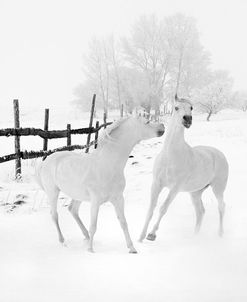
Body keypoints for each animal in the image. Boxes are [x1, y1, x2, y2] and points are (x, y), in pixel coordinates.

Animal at [36, 115, 164, 252]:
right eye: (147, 122)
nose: (162, 126)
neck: (108, 164)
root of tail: (45, 161)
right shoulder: (95, 200)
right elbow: (94, 225)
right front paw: (90, 250)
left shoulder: (118, 198)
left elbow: (123, 223)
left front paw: (132, 249)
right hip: (52, 192)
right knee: (54, 215)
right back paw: (63, 241)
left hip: (77, 195)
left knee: (73, 210)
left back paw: (86, 236)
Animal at [140, 95, 229, 242]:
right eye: (176, 107)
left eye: (191, 107)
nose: (187, 119)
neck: (170, 155)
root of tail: (219, 154)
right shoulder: (156, 184)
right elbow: (150, 209)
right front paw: (140, 237)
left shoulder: (175, 188)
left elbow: (163, 208)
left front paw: (152, 235)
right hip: (195, 192)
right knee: (200, 211)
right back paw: (194, 236)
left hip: (218, 188)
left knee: (221, 207)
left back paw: (220, 234)